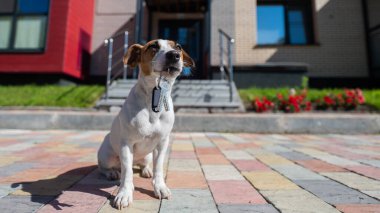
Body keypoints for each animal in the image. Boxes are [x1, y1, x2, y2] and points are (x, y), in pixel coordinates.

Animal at [96, 39, 194, 209]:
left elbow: (158, 167)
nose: (174, 55)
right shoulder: (126, 144)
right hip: (107, 155)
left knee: (145, 164)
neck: (155, 95)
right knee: (104, 167)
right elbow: (127, 173)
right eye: (153, 46)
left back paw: (146, 170)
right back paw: (111, 173)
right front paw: (124, 194)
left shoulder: (162, 143)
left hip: (147, 155)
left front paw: (160, 187)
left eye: (178, 47)